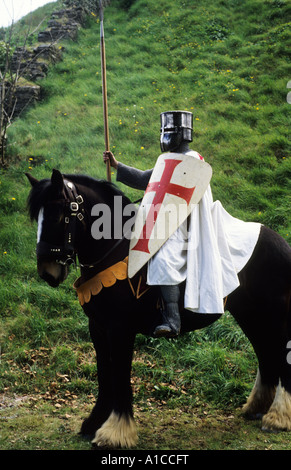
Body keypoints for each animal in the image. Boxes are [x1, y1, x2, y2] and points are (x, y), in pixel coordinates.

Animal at [26, 169, 291, 448]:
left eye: (58, 215)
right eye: (38, 217)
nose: (47, 272)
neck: (114, 249)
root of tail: (281, 243)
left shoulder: (120, 330)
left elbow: (119, 375)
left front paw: (116, 432)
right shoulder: (98, 328)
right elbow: (104, 373)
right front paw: (94, 423)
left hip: (273, 316)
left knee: (280, 355)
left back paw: (278, 417)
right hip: (251, 316)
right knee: (266, 355)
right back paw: (258, 408)